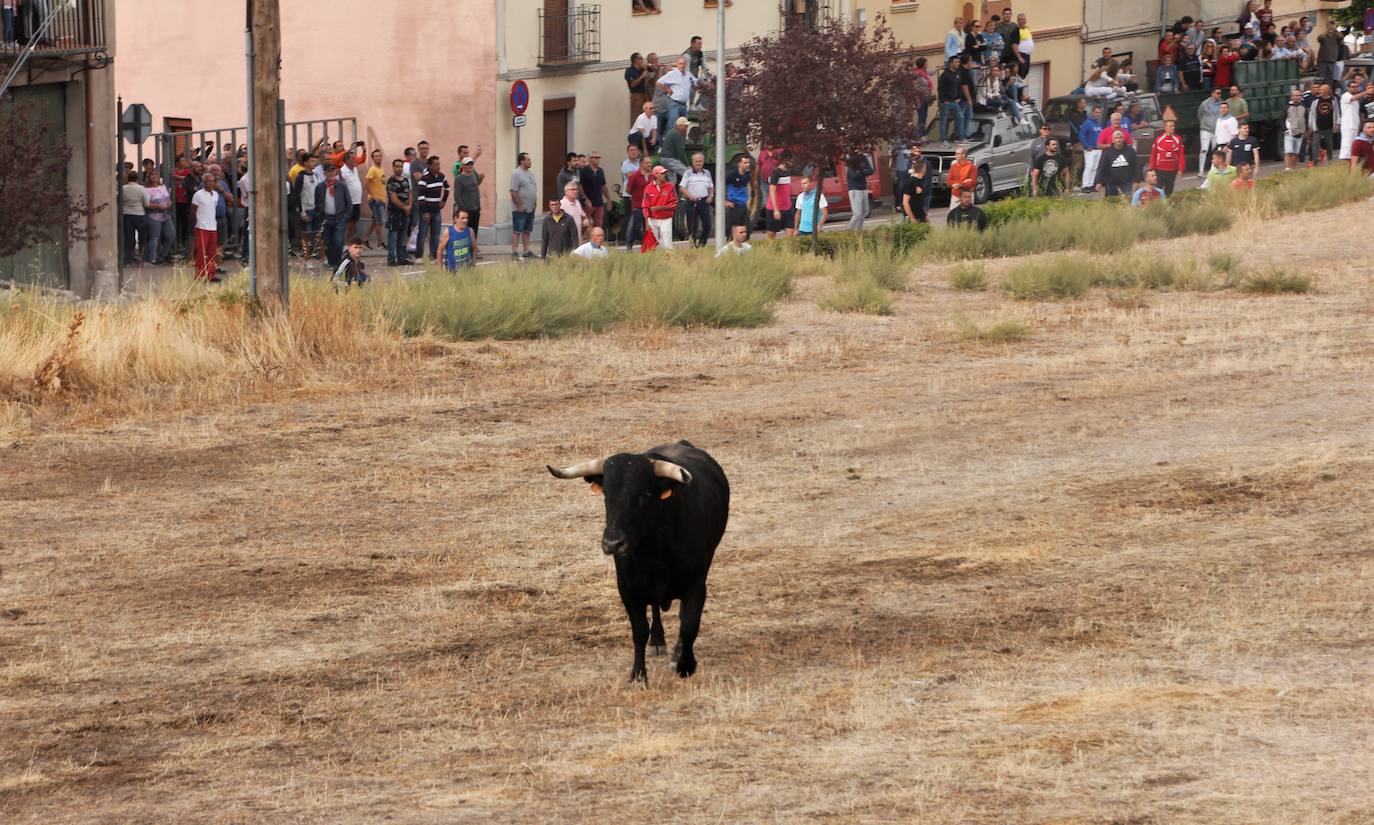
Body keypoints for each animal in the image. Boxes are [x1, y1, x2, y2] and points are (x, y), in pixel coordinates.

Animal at [546, 442, 730, 687]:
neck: (653, 550)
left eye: (644, 494)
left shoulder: (696, 584)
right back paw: (657, 640)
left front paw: (684, 664)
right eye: (607, 495)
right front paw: (638, 675)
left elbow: (689, 624)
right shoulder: (627, 588)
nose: (613, 543)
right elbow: (639, 631)